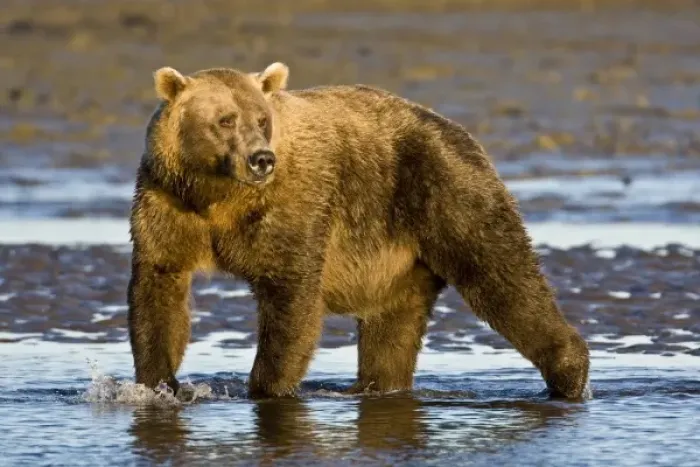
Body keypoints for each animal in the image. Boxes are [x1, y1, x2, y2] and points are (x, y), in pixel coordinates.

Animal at [127, 61, 590, 400]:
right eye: (225, 120)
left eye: (261, 119)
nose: (261, 159)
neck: (219, 197)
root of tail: (461, 132)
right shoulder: (167, 202)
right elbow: (159, 290)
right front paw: (159, 384)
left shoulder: (294, 208)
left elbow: (291, 297)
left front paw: (266, 388)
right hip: (398, 256)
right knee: (392, 328)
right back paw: (376, 387)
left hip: (445, 193)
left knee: (502, 277)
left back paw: (568, 374)